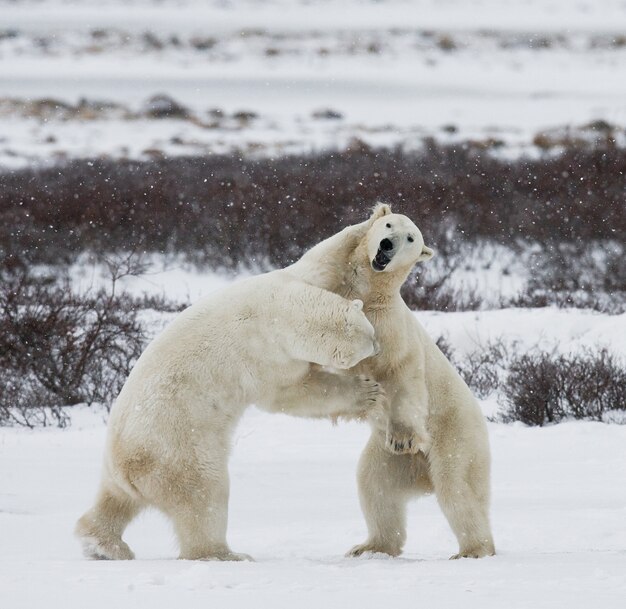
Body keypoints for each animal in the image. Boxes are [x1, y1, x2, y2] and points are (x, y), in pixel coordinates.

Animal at [76, 270, 386, 560]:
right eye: (370, 338)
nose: (379, 347)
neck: (277, 310)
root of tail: (128, 467)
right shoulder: (268, 355)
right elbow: (293, 392)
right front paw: (368, 392)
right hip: (177, 450)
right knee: (204, 496)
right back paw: (225, 554)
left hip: (120, 466)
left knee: (115, 500)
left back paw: (102, 544)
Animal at [288, 205, 498, 560]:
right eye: (388, 225)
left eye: (410, 237)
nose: (386, 245)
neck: (367, 292)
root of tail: (422, 475)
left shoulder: (390, 328)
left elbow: (400, 371)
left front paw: (402, 437)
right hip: (389, 459)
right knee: (375, 485)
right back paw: (370, 546)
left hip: (455, 436)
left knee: (457, 487)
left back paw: (473, 550)